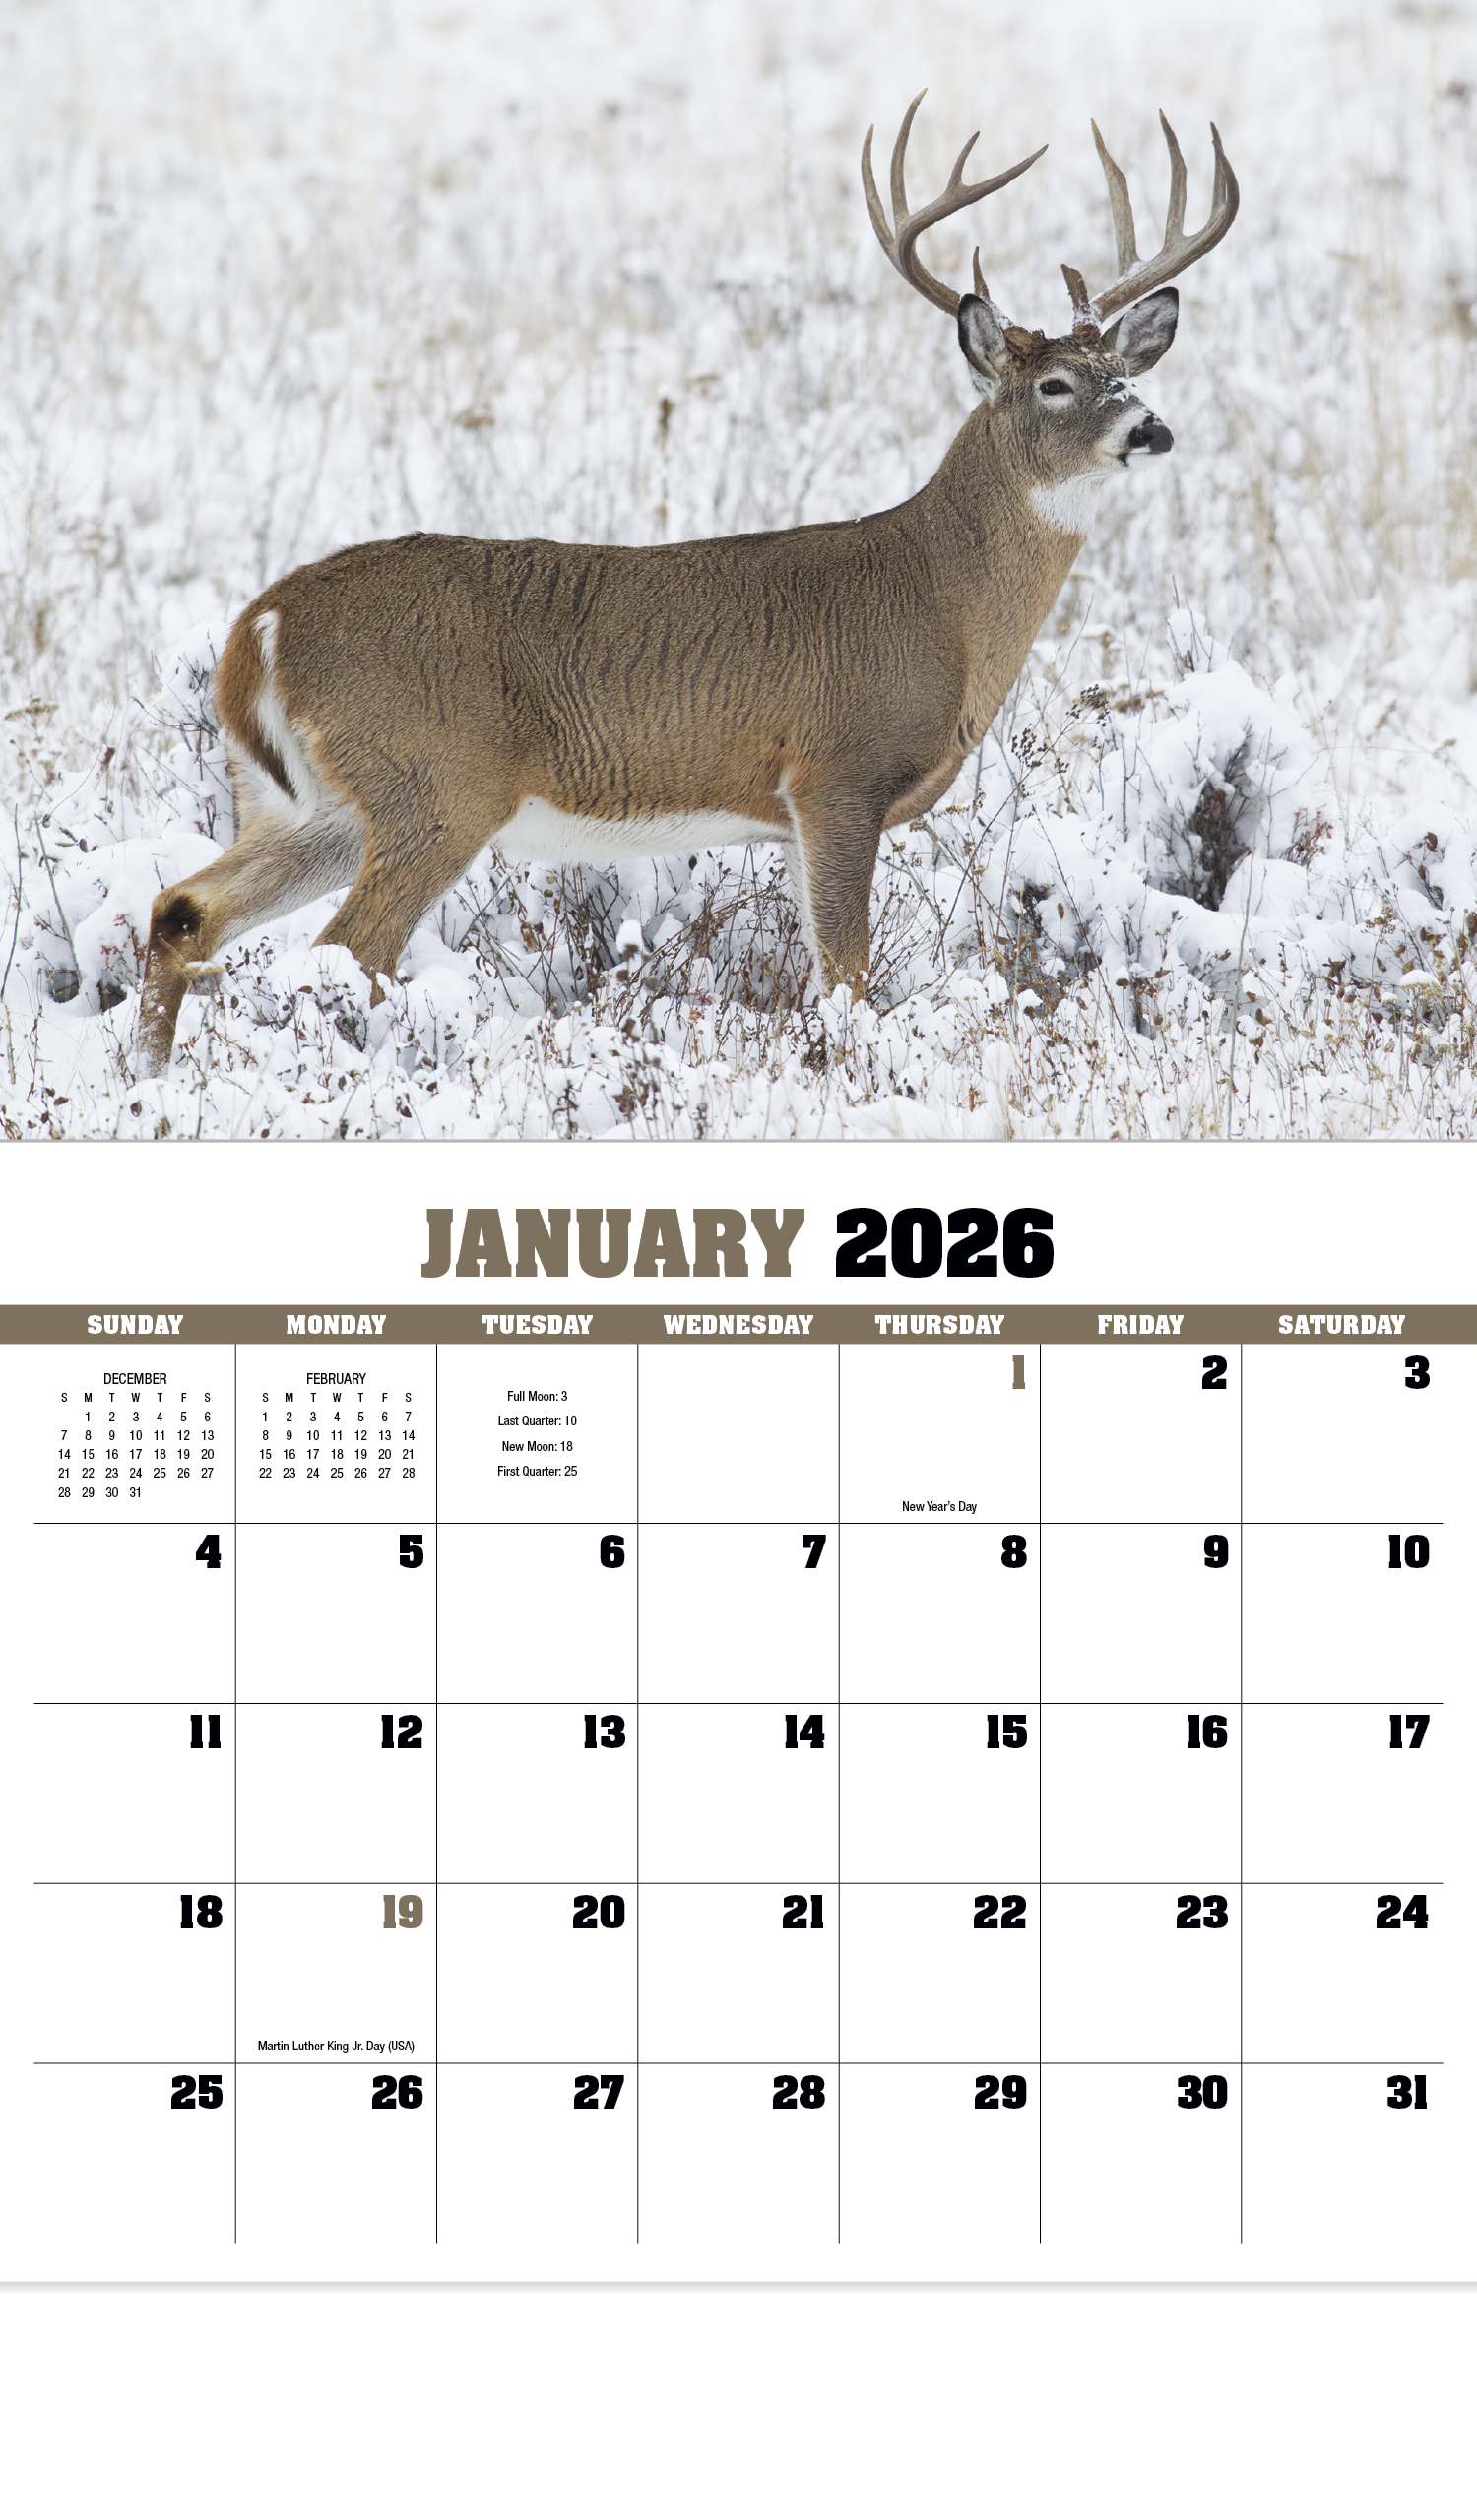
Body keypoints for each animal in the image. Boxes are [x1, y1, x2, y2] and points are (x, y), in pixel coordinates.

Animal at [136, 98, 1238, 1076]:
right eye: (1054, 383)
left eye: (1124, 372)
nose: (1151, 428)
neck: (941, 598)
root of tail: (261, 628)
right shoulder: (837, 769)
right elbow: (846, 976)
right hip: (434, 783)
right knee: (342, 950)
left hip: (305, 805)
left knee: (183, 910)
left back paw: (148, 1078)